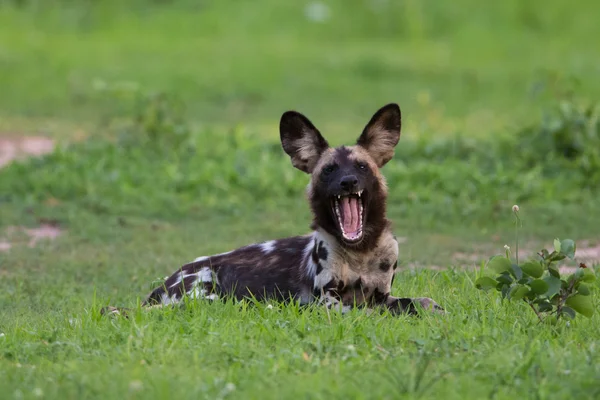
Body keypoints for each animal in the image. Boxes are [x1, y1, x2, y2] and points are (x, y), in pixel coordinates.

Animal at [103, 104, 442, 318]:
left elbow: (420, 302)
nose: (348, 182)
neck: (360, 253)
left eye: (361, 167)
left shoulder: (382, 293)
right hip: (208, 295)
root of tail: (165, 282)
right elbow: (367, 311)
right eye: (329, 170)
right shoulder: (327, 303)